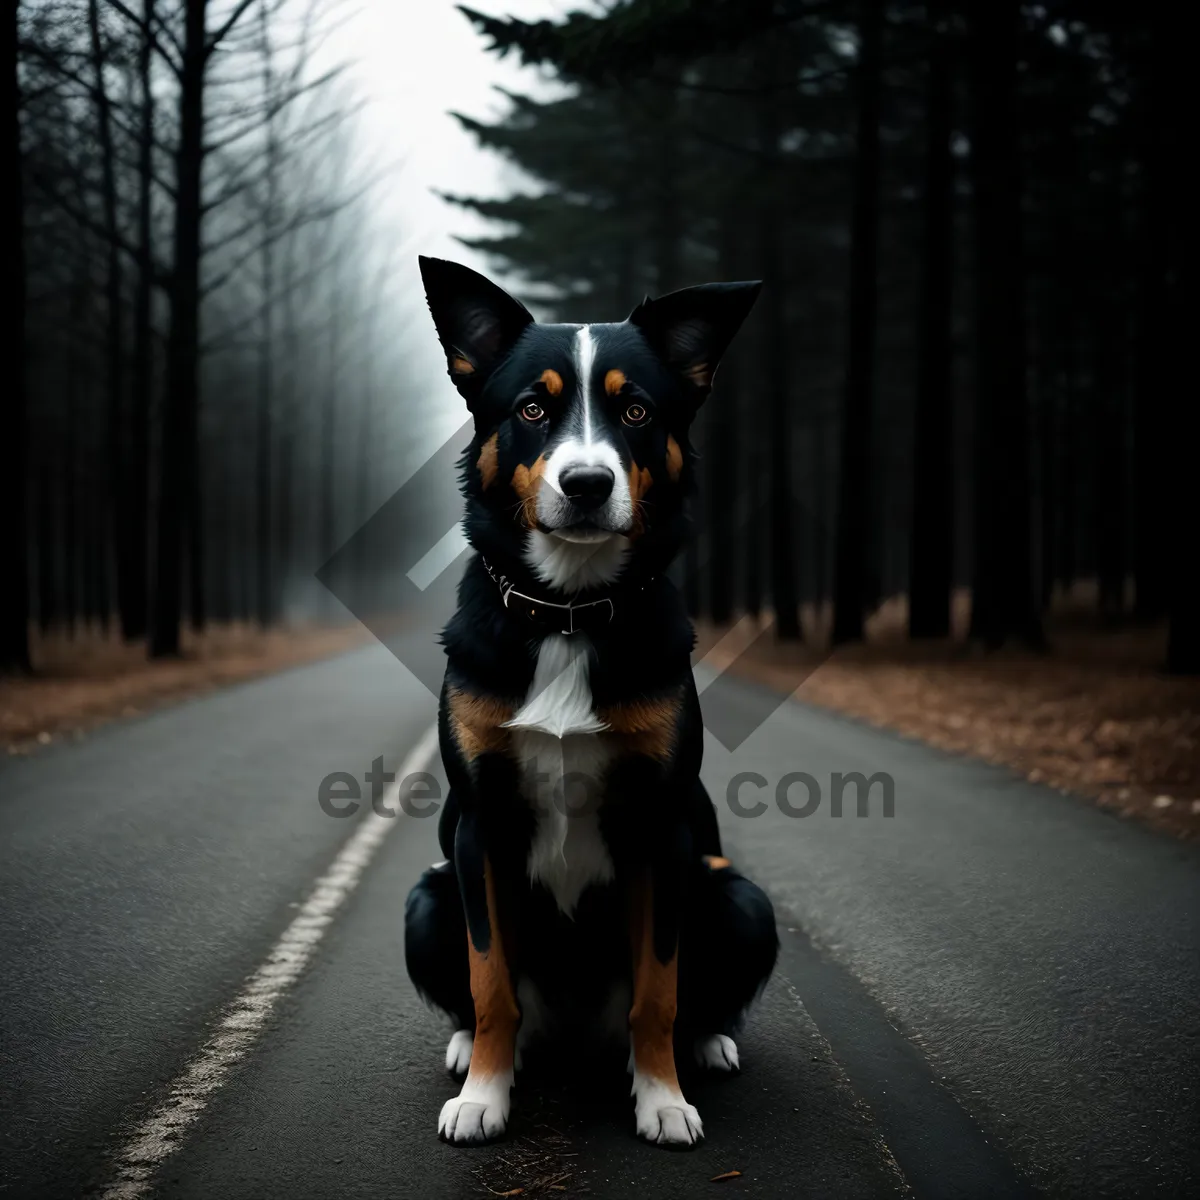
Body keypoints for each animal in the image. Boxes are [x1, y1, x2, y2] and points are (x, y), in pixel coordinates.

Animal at [403, 258, 777, 1147]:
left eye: (635, 409)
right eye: (532, 409)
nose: (585, 483)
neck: (569, 614)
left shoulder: (663, 833)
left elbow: (658, 991)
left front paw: (663, 1098)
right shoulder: (481, 830)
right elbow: (491, 982)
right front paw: (486, 1095)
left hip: (736, 894)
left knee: (696, 993)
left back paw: (705, 1045)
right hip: (427, 895)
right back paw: (469, 1050)